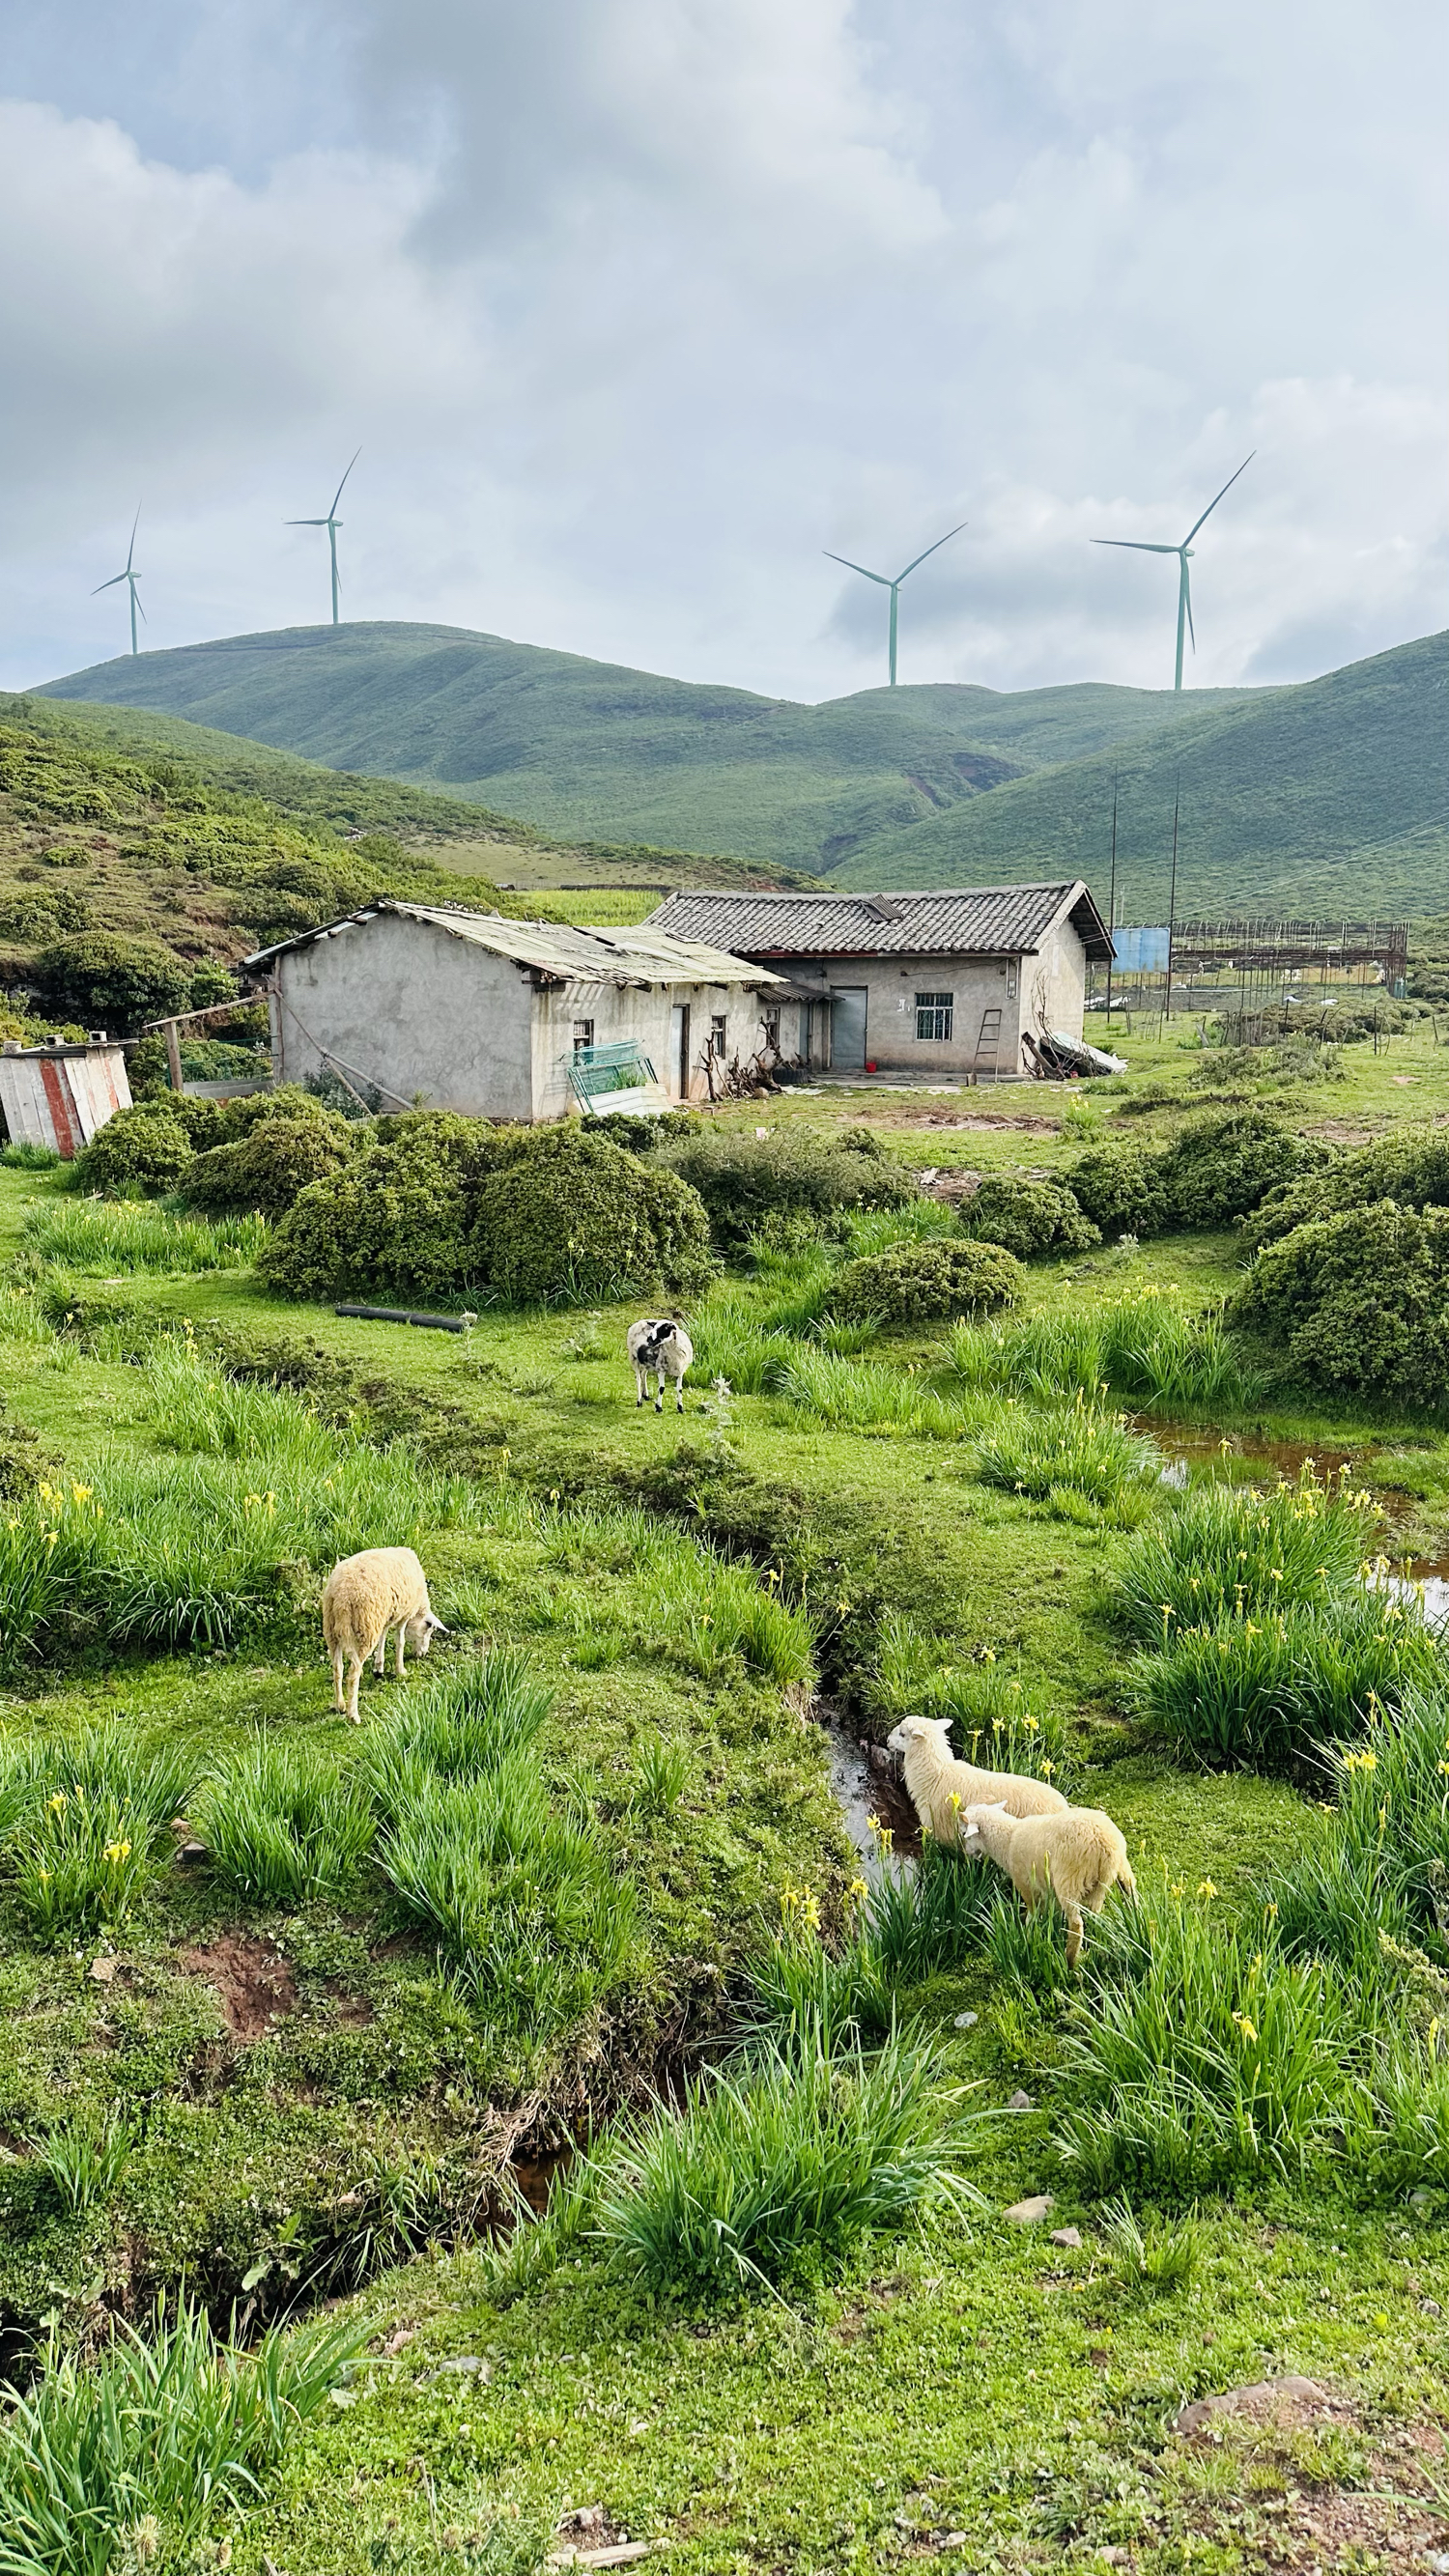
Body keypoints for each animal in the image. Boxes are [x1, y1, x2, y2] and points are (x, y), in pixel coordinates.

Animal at [321, 1545, 445, 1731]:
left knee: (338, 1668)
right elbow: (399, 1640)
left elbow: (384, 1635)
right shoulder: (403, 1613)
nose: (422, 1654)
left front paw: (378, 1666)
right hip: (365, 1627)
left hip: (331, 1629)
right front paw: (400, 1670)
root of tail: (341, 1598)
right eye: (429, 1629)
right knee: (353, 1673)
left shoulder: (386, 1613)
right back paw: (353, 1715)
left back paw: (340, 1705)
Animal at [964, 1802, 1134, 1957]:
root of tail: (1104, 1842)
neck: (1009, 1839)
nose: (967, 1853)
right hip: (1119, 1870)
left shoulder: (1026, 1884)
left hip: (1069, 1880)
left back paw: (1070, 1959)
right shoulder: (1048, 1889)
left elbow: (1033, 1913)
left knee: (1076, 1923)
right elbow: (1053, 1912)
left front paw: (1028, 1936)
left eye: (965, 1832)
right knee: (1127, 1894)